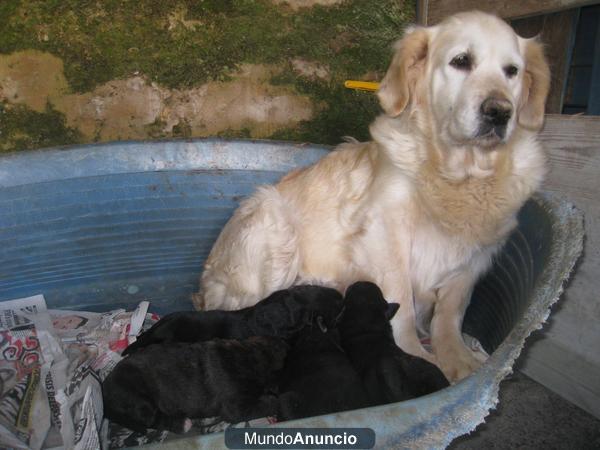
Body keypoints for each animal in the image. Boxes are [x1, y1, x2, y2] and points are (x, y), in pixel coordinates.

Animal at [103, 336, 288, 434]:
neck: (247, 358)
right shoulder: (236, 407)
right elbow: (268, 403)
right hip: (139, 400)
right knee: (152, 419)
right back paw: (183, 424)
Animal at [195, 11, 552, 384]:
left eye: (512, 70)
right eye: (461, 61)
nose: (499, 112)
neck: (460, 174)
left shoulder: (477, 256)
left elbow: (451, 312)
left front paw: (460, 361)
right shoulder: (385, 234)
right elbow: (402, 305)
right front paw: (414, 355)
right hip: (274, 230)